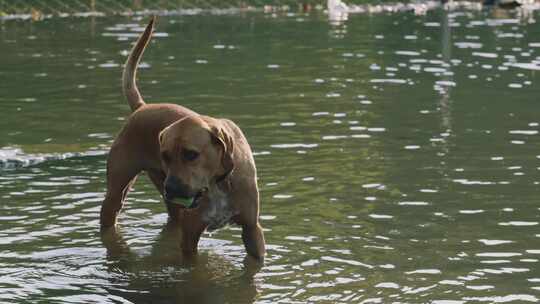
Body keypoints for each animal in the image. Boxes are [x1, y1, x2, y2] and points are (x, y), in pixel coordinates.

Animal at [99, 16, 266, 260]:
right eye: (165, 156)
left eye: (191, 154)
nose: (172, 188)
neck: (217, 183)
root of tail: (142, 107)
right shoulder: (189, 236)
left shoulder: (252, 230)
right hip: (119, 191)